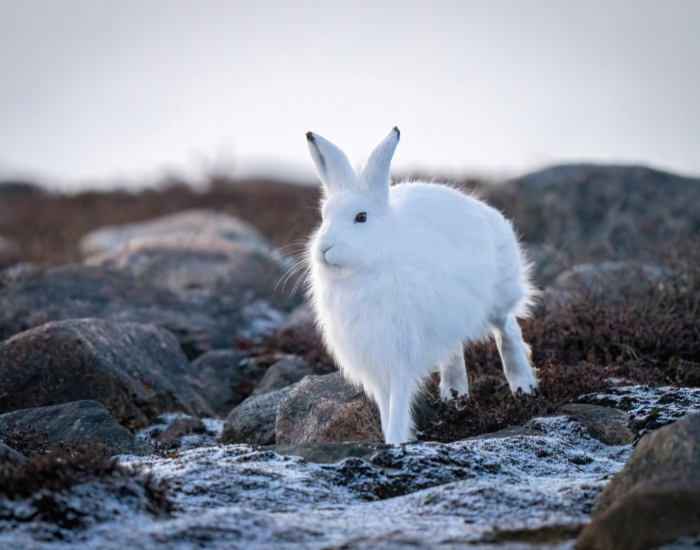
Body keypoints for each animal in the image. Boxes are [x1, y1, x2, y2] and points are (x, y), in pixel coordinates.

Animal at [304, 127, 538, 444]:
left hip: (498, 299)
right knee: (453, 350)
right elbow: (384, 405)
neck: (363, 270)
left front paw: (394, 441)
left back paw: (524, 388)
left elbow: (399, 402)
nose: (324, 248)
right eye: (324, 217)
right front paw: (389, 438)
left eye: (361, 217)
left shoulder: (398, 353)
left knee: (508, 332)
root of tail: (488, 213)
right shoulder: (374, 360)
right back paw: (455, 396)